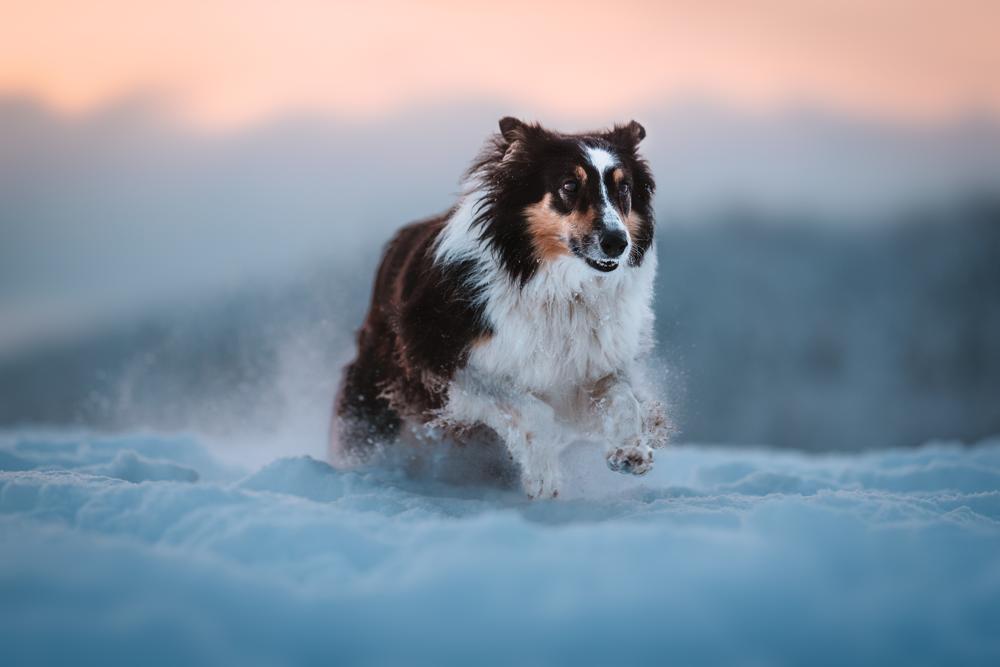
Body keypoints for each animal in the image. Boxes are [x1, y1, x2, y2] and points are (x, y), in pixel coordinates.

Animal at [332, 117, 668, 498]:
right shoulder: (442, 362)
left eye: (623, 188)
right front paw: (543, 477)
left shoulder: (590, 363)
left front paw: (631, 450)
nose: (617, 242)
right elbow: (528, 408)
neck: (559, 289)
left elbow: (623, 397)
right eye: (569, 185)